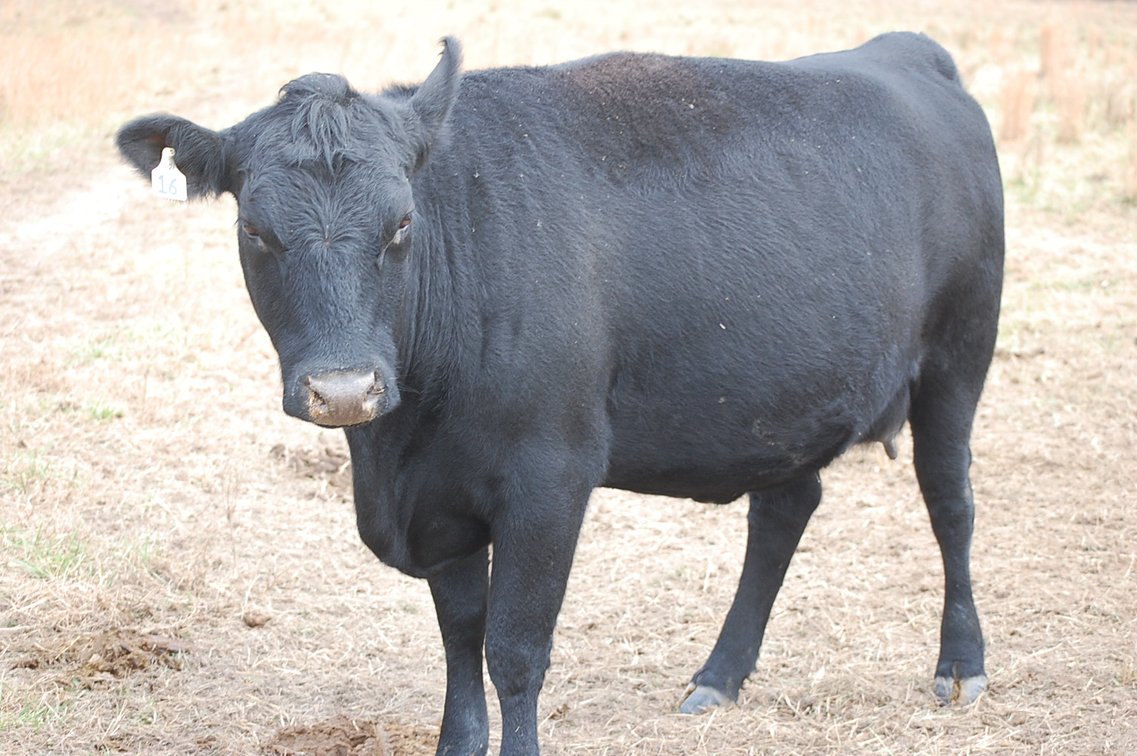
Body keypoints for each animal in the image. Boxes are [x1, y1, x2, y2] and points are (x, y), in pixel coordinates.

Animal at [116, 32, 1003, 755]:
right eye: (253, 229)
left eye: (401, 223)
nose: (344, 390)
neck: (397, 451)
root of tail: (903, 50)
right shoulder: (441, 503)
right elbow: (459, 636)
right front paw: (457, 746)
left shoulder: (549, 479)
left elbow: (514, 649)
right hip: (785, 398)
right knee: (784, 510)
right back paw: (719, 674)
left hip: (958, 354)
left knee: (950, 502)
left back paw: (960, 663)